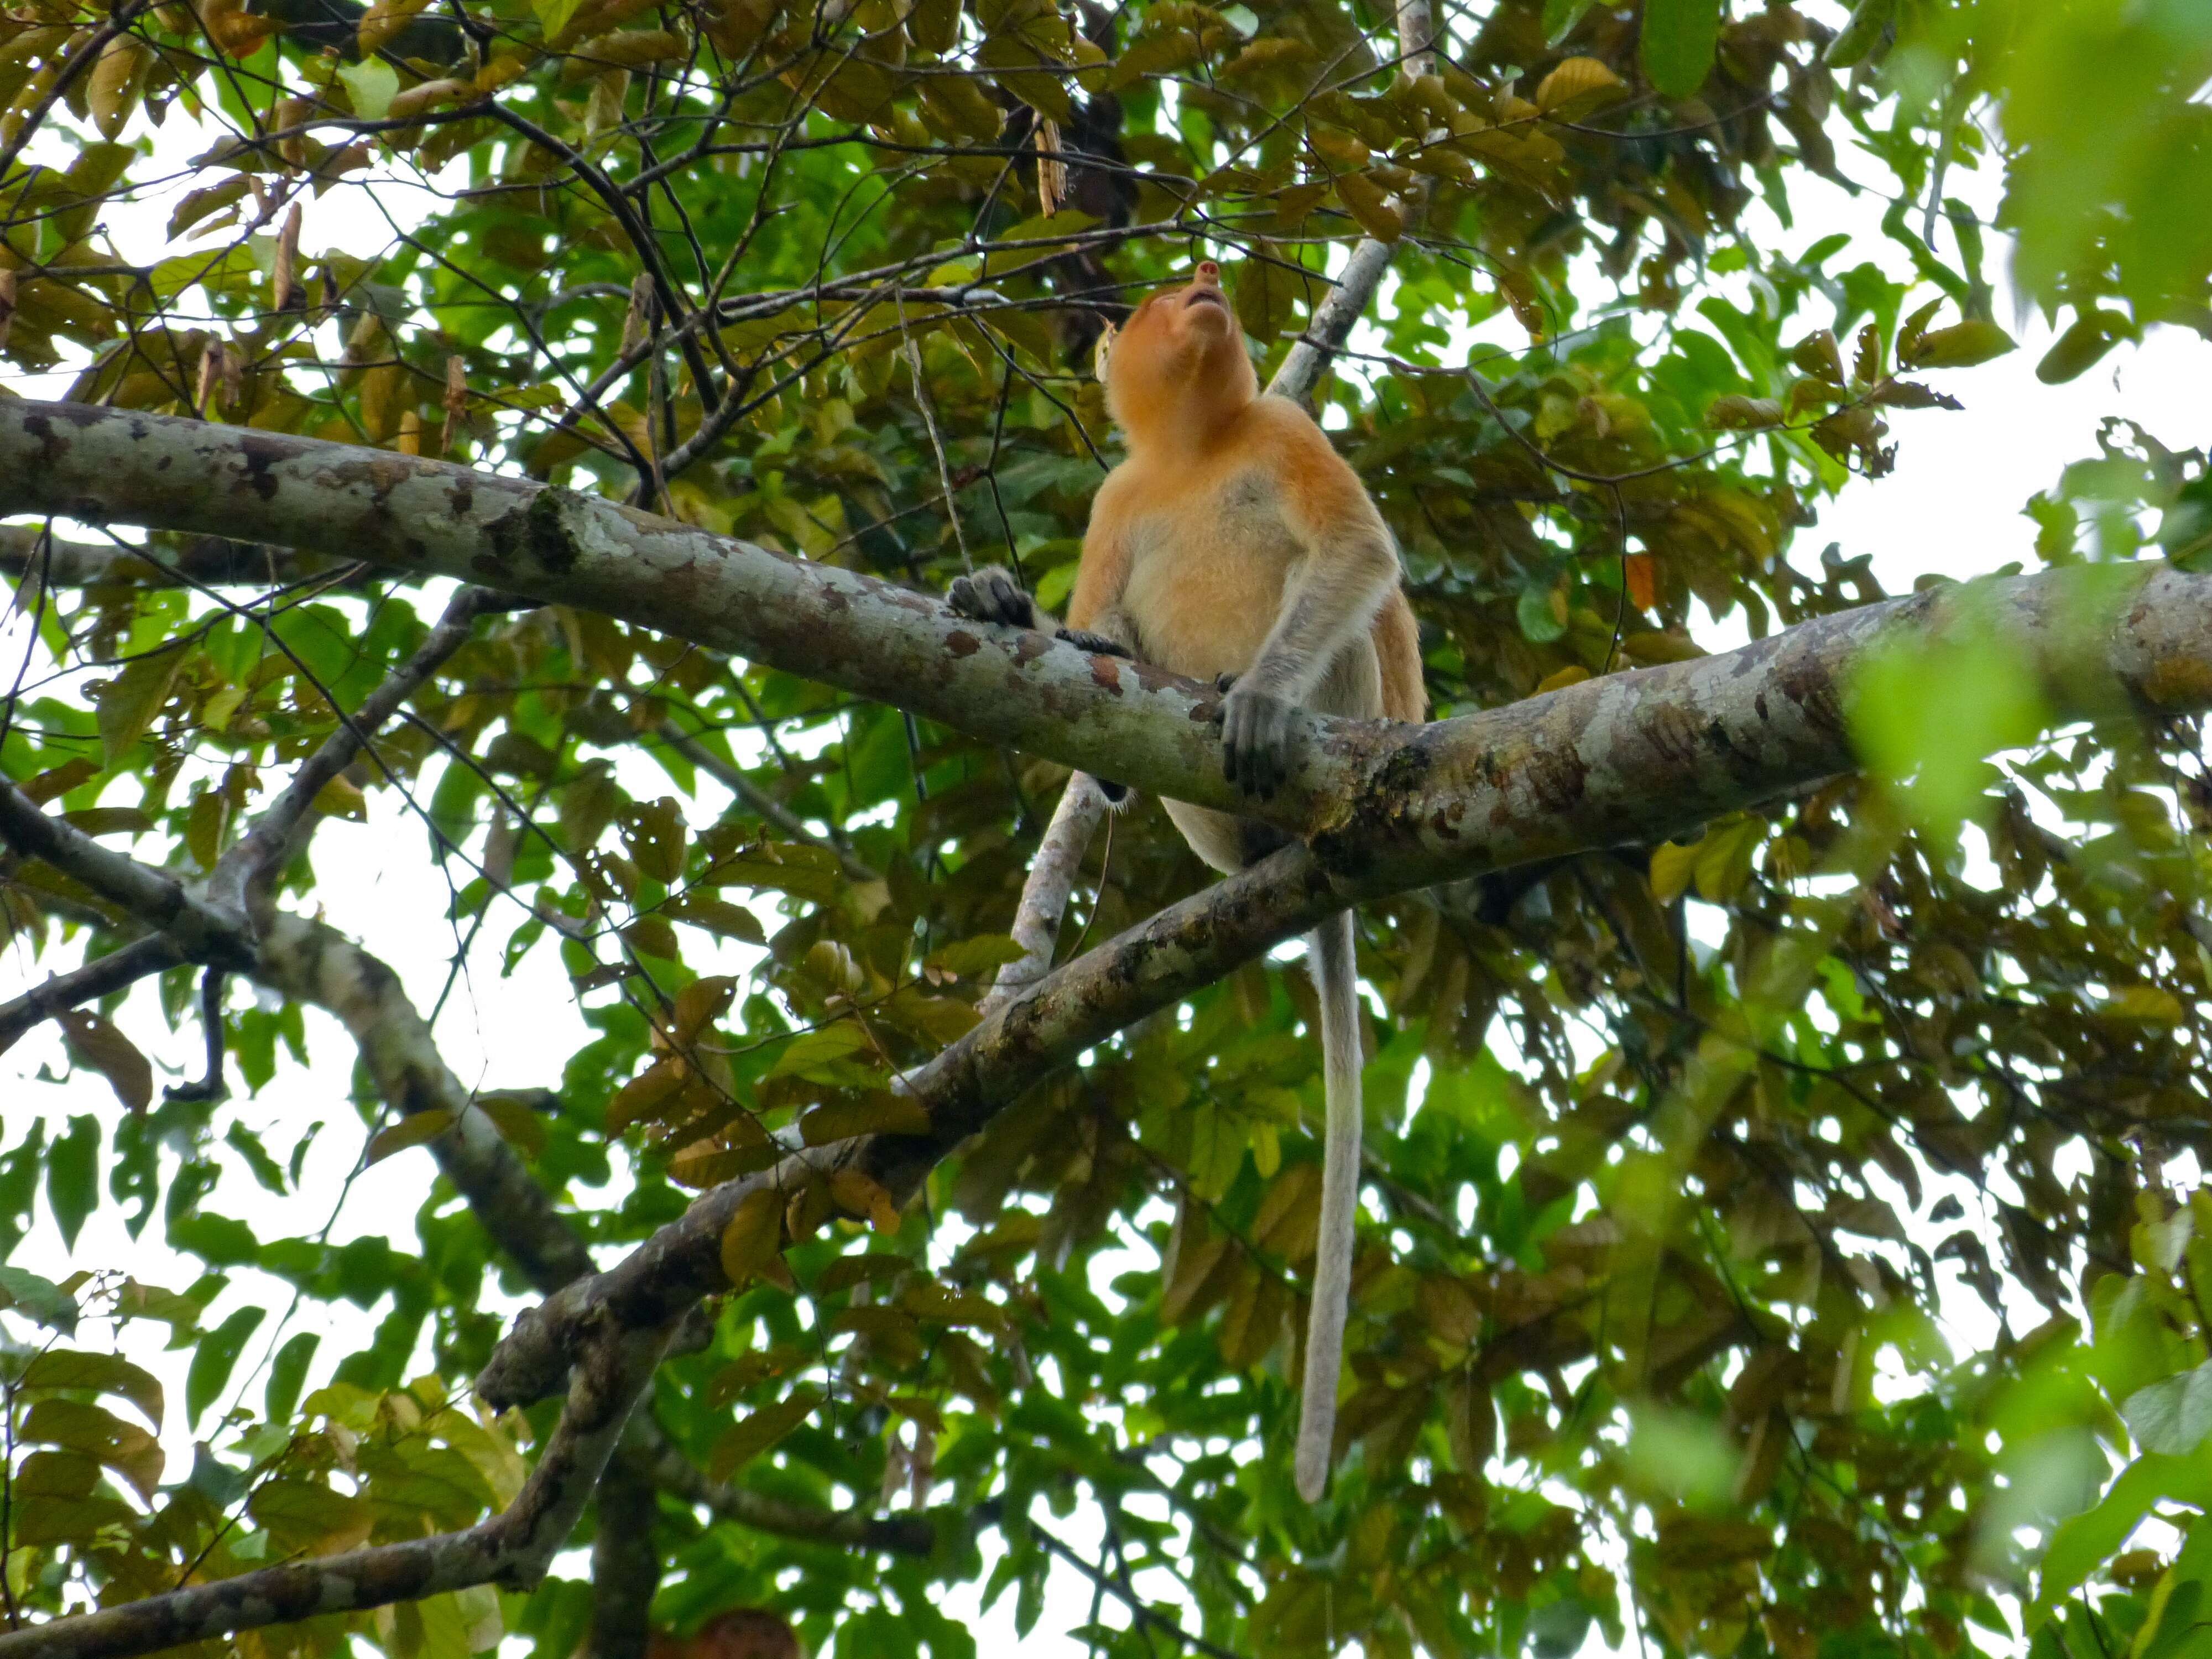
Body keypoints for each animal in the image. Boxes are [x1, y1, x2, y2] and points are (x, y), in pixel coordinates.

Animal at [942, 260, 1425, 1504]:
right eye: (1169, 291)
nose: (1204, 283)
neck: (1197, 450)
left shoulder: (1284, 434)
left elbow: (1355, 555)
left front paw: (1259, 701)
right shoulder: (1118, 504)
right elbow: (1103, 629)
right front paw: (998, 602)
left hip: (1363, 702)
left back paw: (1265, 719)